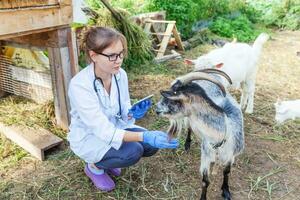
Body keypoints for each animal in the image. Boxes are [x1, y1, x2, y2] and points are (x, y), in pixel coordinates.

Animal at [156, 69, 245, 200]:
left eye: (173, 99)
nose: (156, 109)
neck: (222, 134)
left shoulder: (231, 154)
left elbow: (226, 171)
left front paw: (226, 191)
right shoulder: (206, 155)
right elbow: (205, 181)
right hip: (189, 121)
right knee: (189, 128)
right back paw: (187, 144)